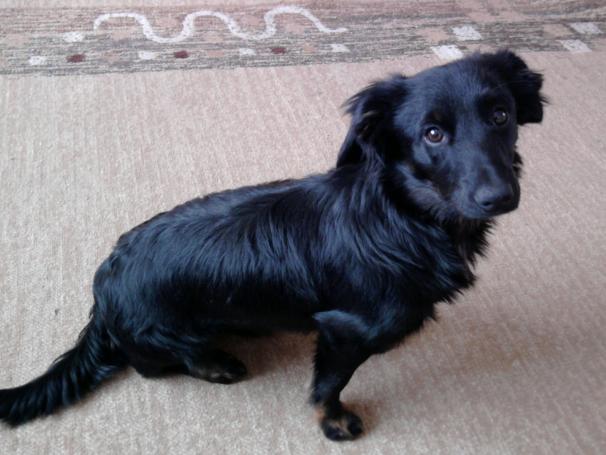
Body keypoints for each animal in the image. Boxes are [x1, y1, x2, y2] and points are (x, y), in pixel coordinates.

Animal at [0, 50, 544, 441]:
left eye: (501, 115)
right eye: (432, 134)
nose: (500, 196)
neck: (405, 218)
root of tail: (102, 287)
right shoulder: (343, 331)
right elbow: (329, 385)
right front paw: (333, 422)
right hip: (169, 336)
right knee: (160, 367)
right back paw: (218, 364)